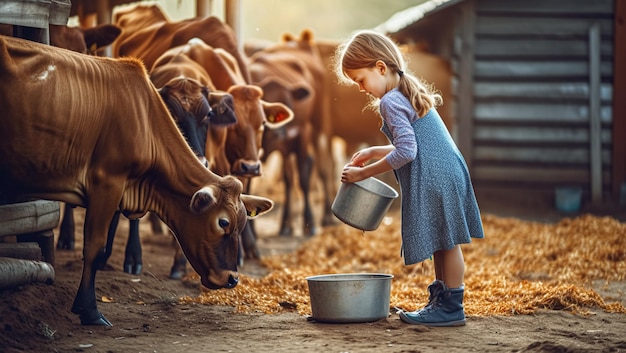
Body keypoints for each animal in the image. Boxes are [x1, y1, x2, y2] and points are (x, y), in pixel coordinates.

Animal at [0, 35, 272, 324]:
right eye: (223, 222)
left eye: (242, 223)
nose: (232, 279)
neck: (145, 119)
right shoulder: (107, 182)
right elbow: (94, 247)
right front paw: (89, 309)